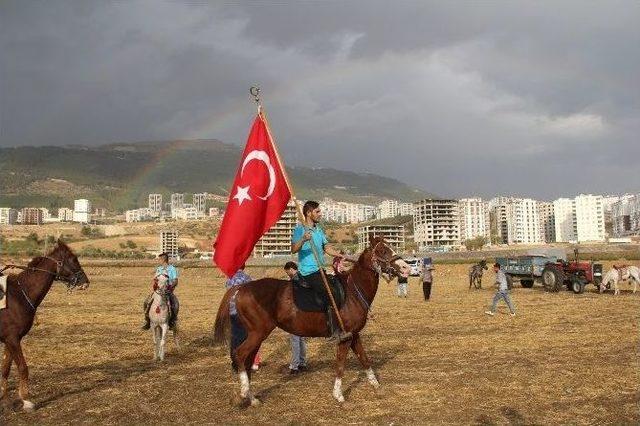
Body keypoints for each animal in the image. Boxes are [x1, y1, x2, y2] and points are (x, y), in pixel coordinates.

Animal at [0, 240, 89, 410]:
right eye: (73, 259)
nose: (85, 282)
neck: (19, 295)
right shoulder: (13, 339)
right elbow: (23, 368)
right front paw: (26, 400)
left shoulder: (10, 340)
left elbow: (5, 368)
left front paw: (3, 397)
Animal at [212, 236, 408, 406]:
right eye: (383, 250)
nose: (405, 268)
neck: (353, 292)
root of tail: (241, 288)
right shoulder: (345, 337)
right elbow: (340, 365)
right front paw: (338, 395)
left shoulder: (354, 334)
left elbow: (365, 359)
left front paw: (377, 387)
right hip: (258, 332)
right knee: (240, 354)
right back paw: (244, 392)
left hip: (256, 335)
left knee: (247, 359)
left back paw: (252, 399)